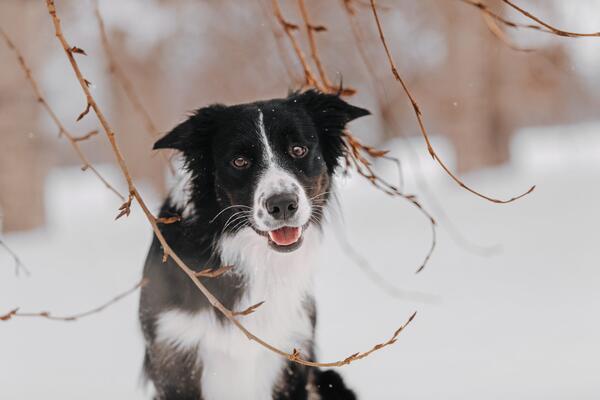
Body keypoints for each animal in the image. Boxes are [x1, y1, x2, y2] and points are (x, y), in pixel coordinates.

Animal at [139, 89, 370, 398]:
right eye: (239, 161)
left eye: (298, 150)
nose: (283, 204)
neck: (253, 259)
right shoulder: (173, 354)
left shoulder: (291, 354)